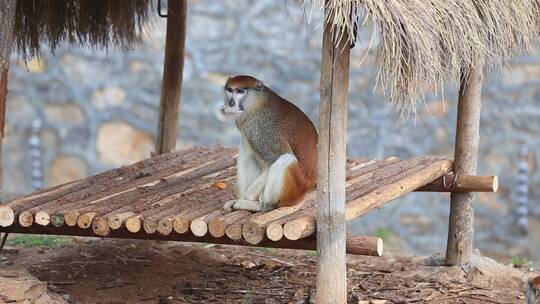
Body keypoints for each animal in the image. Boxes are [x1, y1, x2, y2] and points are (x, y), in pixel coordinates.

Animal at [221, 75, 318, 213]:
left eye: (240, 91)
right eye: (230, 90)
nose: (231, 103)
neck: (258, 102)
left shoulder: (259, 127)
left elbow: (274, 159)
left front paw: (250, 197)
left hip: (295, 189)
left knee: (286, 159)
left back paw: (263, 206)